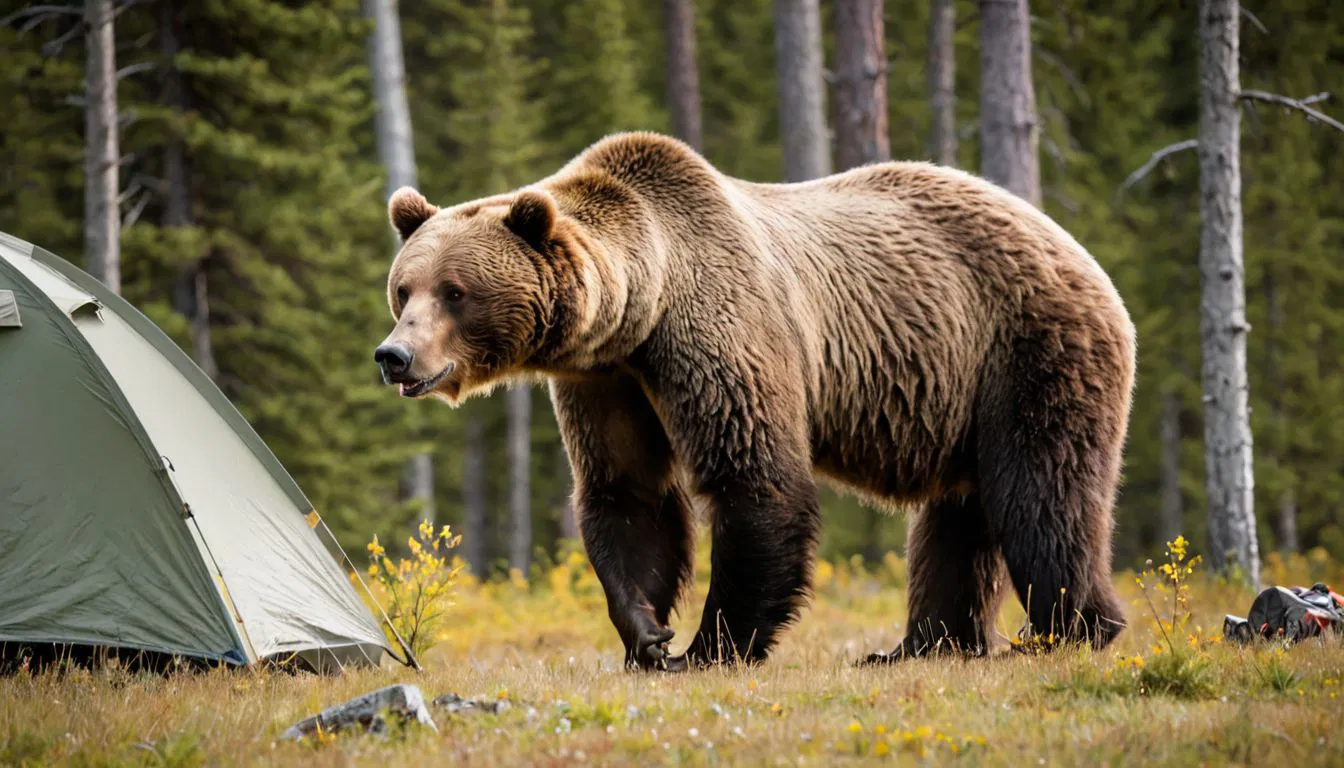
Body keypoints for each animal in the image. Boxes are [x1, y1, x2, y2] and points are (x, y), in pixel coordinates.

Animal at [376, 132, 1134, 672]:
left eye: (455, 291)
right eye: (403, 288)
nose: (394, 356)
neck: (642, 308)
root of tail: (1072, 245)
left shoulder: (717, 329)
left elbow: (754, 477)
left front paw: (710, 646)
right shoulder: (607, 379)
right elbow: (627, 492)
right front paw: (646, 634)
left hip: (1027, 349)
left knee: (1040, 492)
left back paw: (1071, 630)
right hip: (959, 388)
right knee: (958, 515)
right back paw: (922, 644)